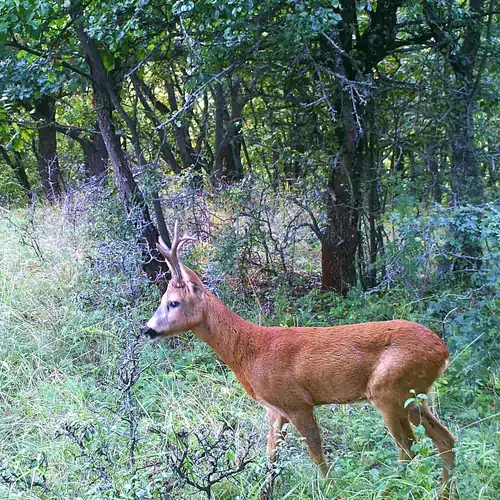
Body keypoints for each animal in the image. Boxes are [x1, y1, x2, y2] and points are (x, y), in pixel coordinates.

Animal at [145, 225, 458, 498]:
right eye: (162, 300)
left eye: (173, 302)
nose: (147, 329)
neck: (251, 352)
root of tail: (443, 351)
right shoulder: (274, 409)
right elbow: (271, 456)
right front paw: (264, 494)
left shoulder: (298, 402)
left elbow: (316, 455)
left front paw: (333, 492)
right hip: (415, 395)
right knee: (445, 439)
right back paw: (444, 493)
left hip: (389, 390)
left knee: (408, 447)